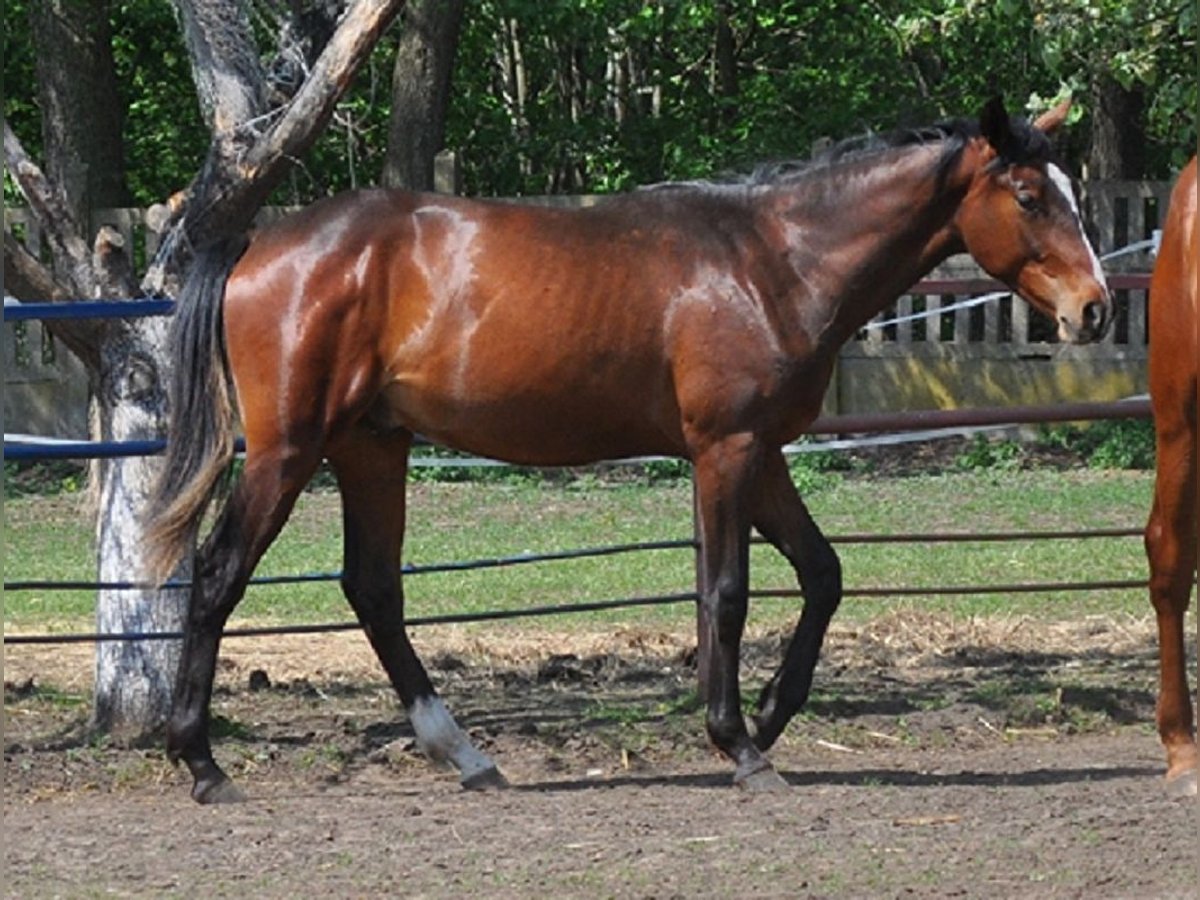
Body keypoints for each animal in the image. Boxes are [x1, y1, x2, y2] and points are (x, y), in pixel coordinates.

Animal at [145, 98, 1108, 801]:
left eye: (1074, 192)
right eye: (1030, 196)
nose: (1093, 308)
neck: (772, 260)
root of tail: (261, 242)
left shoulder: (764, 453)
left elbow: (823, 575)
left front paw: (768, 716)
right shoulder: (726, 450)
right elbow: (727, 593)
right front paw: (738, 743)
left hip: (371, 447)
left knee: (374, 589)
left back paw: (466, 756)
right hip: (289, 450)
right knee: (220, 574)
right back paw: (203, 764)